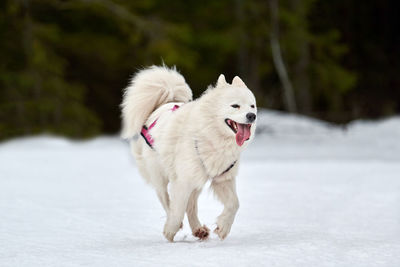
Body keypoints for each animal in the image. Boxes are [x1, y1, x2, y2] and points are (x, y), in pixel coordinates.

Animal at [121, 66, 256, 242]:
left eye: (252, 106)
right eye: (235, 106)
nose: (252, 116)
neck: (213, 137)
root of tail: (163, 104)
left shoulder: (223, 178)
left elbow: (234, 204)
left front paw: (223, 228)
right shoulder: (182, 180)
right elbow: (177, 209)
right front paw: (170, 231)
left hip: (196, 180)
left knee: (190, 205)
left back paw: (199, 229)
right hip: (160, 174)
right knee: (166, 199)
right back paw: (178, 223)